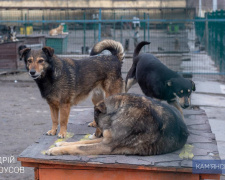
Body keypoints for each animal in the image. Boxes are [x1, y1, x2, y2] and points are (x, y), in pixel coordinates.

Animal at [45, 93, 188, 155]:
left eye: (97, 122)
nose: (97, 134)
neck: (119, 111)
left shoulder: (107, 146)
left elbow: (79, 147)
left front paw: (55, 150)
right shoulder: (106, 140)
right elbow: (82, 142)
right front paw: (62, 144)